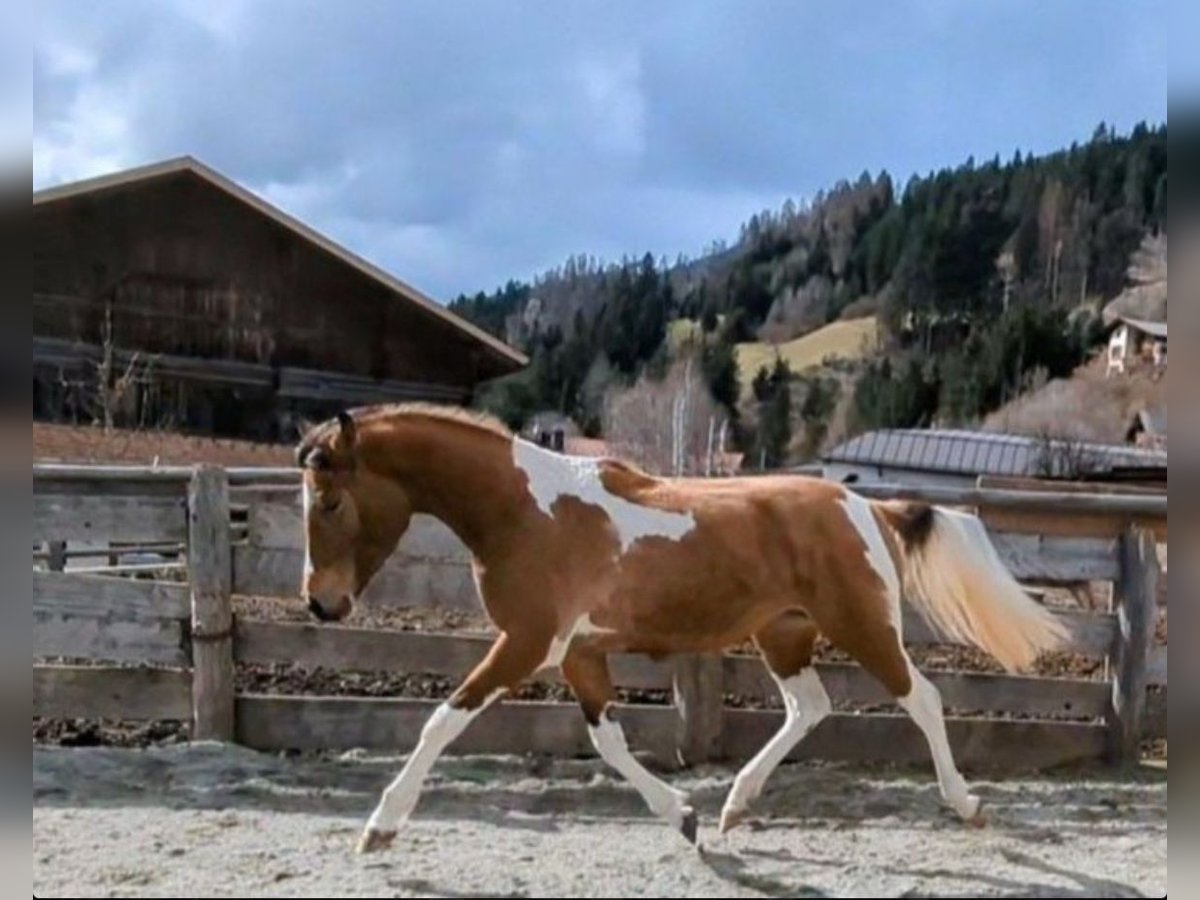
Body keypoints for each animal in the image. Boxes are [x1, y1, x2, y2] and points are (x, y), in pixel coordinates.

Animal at [295, 403, 1069, 854]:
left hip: (862, 625)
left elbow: (442, 721)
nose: (321, 605)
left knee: (923, 700)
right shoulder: (578, 653)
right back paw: (734, 807)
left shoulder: (527, 644)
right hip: (784, 634)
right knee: (810, 706)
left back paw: (966, 804)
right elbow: (607, 741)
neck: (525, 510)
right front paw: (685, 816)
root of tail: (866, 505)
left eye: (330, 501)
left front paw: (379, 828)